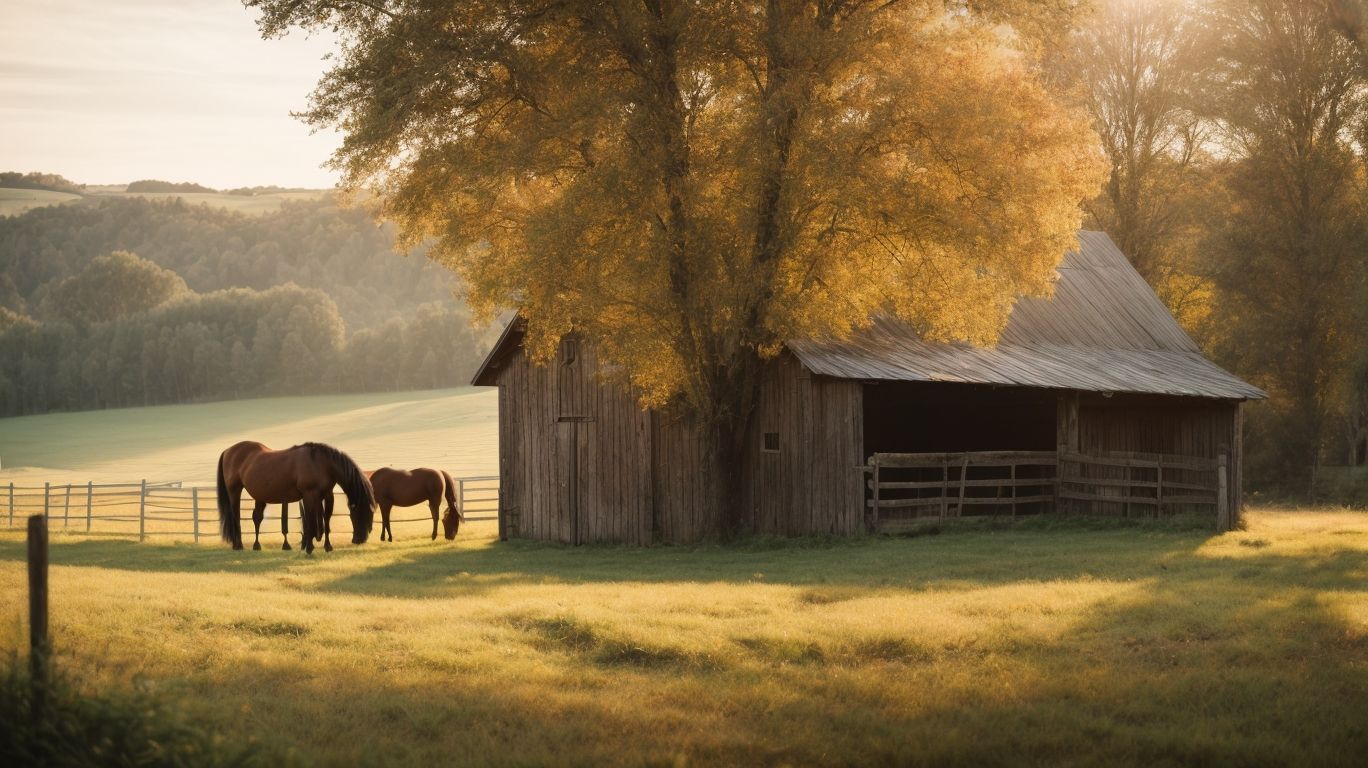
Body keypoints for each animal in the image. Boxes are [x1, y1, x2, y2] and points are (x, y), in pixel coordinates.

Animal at [217, 441, 376, 553]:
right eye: (359, 513)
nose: (359, 539)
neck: (320, 462)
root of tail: (228, 451)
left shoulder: (327, 495)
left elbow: (326, 519)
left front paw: (327, 546)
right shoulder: (309, 495)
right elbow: (311, 520)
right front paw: (309, 547)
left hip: (259, 497)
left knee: (256, 518)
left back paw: (256, 546)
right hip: (234, 491)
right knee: (235, 517)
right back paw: (238, 545)